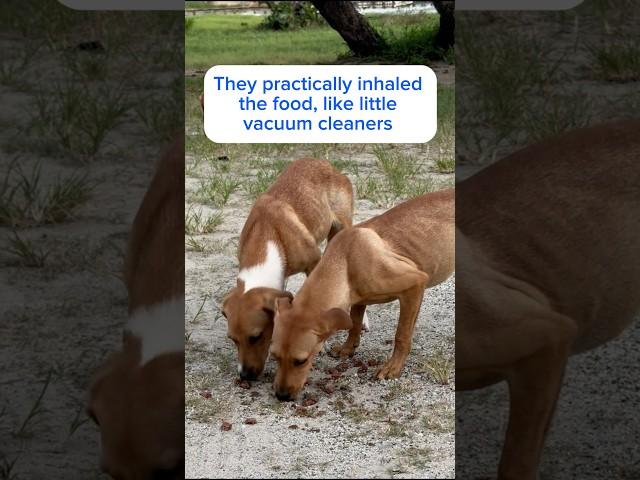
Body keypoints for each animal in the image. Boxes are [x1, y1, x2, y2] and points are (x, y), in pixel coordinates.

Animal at [222, 159, 358, 380]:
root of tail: (324, 162)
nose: (245, 375)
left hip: (341, 227)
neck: (267, 233)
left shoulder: (314, 263)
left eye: (256, 336)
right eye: (232, 339)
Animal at [270, 190, 456, 402]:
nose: (281, 396)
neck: (343, 261)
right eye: (275, 356)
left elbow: (401, 335)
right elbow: (354, 323)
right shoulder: (359, 298)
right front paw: (348, 348)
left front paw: (393, 367)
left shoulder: (415, 284)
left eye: (301, 361)